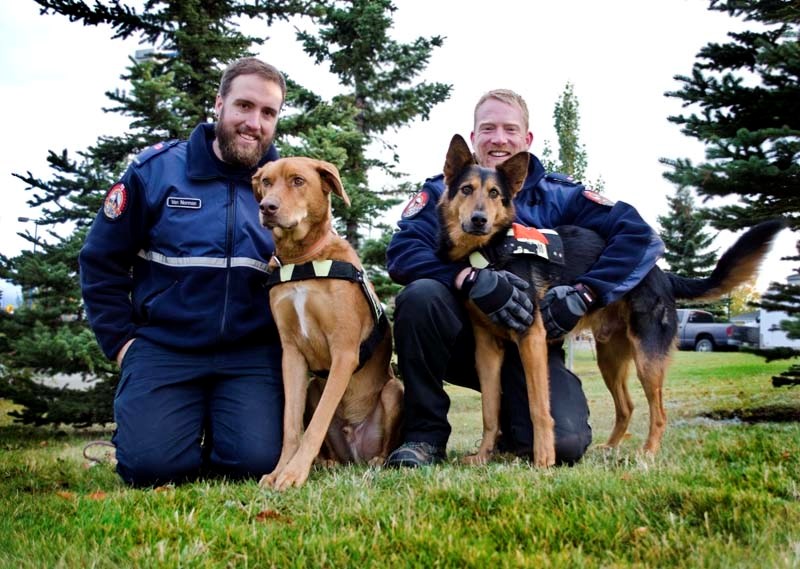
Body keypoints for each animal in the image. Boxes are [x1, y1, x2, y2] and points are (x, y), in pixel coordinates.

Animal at [255, 155, 406, 488]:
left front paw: (294, 473)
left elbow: (317, 423)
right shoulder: (291, 355)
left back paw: (378, 460)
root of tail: (355, 451)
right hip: (313, 387)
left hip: (394, 390)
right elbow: (290, 424)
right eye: (266, 182)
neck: (302, 260)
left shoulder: (344, 353)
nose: (267, 207)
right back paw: (327, 462)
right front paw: (279, 470)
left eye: (298, 180)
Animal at [438, 134, 780, 466]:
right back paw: (611, 448)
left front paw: (543, 462)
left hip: (647, 360)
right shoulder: (487, 350)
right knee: (627, 406)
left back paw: (648, 453)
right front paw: (483, 456)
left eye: (495, 193)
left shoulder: (531, 339)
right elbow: (489, 411)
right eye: (467, 189)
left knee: (659, 412)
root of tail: (661, 273)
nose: (479, 220)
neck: (486, 254)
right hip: (610, 359)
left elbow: (539, 409)